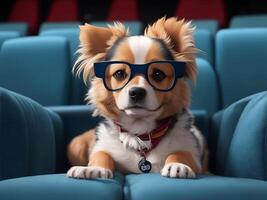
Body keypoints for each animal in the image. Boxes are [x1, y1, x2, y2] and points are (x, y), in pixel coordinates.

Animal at [66, 17, 208, 180]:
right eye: (119, 74)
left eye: (158, 74)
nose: (137, 92)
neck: (140, 131)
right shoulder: (102, 146)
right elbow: (101, 154)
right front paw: (93, 169)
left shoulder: (192, 151)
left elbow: (180, 153)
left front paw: (178, 165)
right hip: (75, 144)